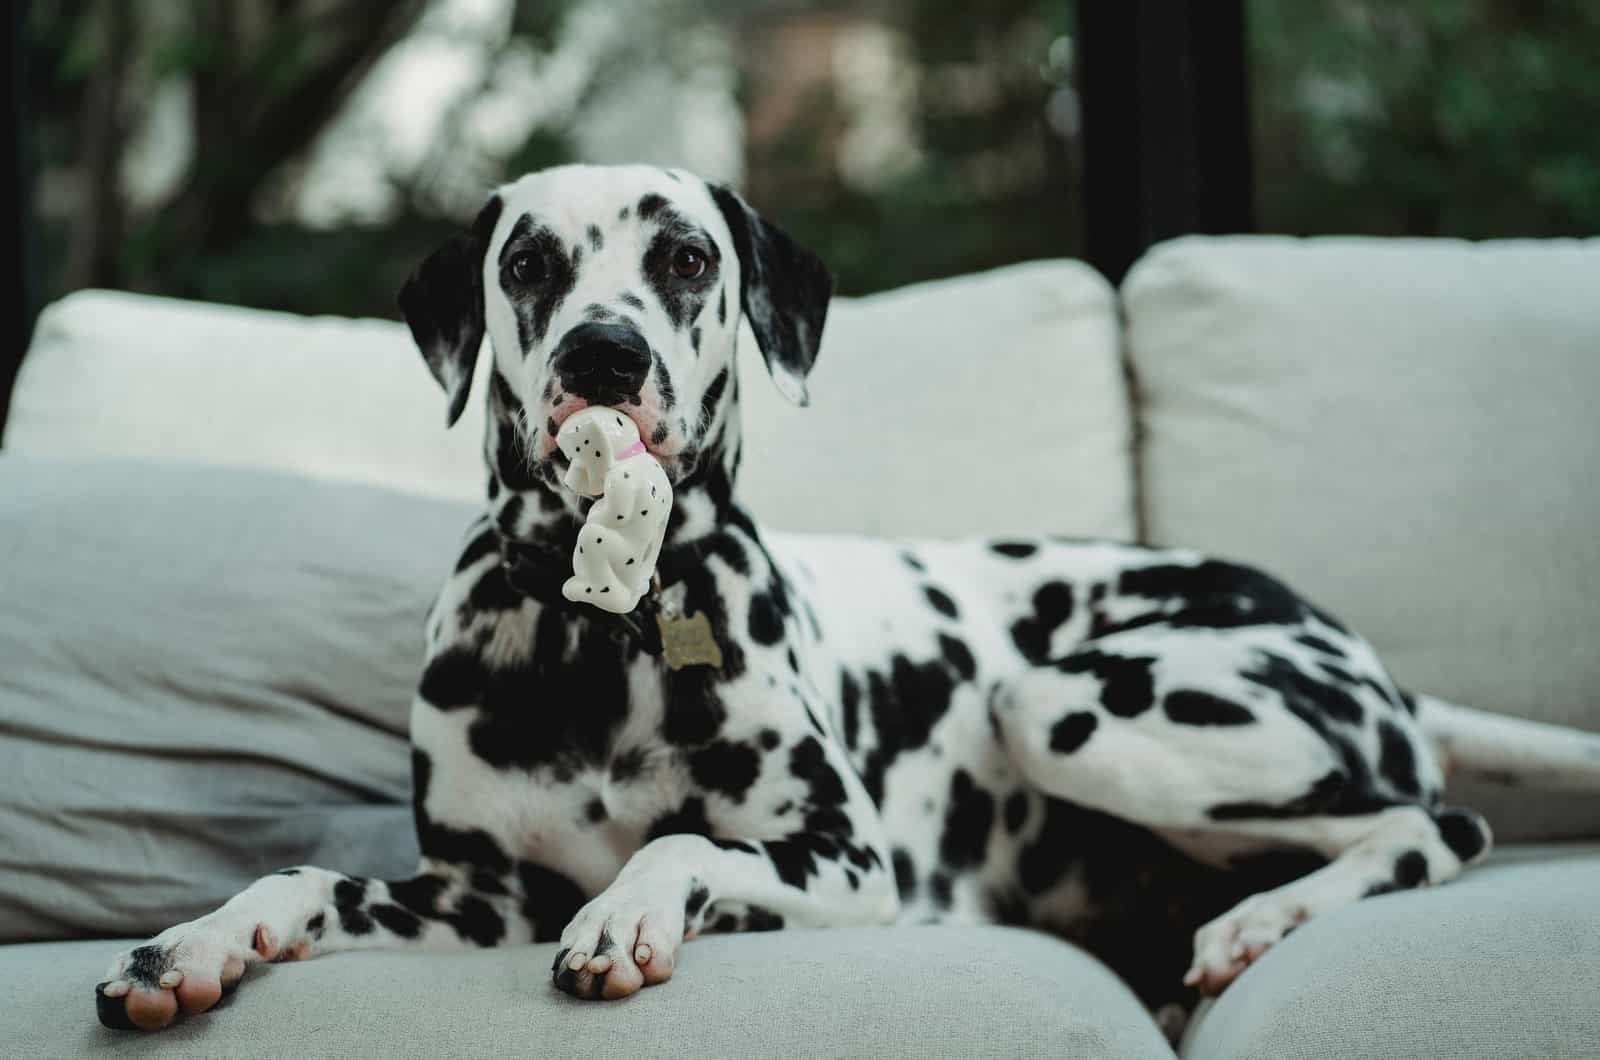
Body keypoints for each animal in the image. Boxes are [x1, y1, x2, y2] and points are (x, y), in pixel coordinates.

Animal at [93, 166, 1593, 1037]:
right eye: (527, 264)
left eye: (687, 258)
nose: (603, 353)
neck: (600, 625)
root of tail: (1364, 654)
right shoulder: (471, 900)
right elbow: (303, 880)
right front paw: (195, 944)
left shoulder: (847, 867)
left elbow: (682, 847)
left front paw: (629, 914)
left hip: (1066, 704)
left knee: (1433, 820)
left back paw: (1254, 926)